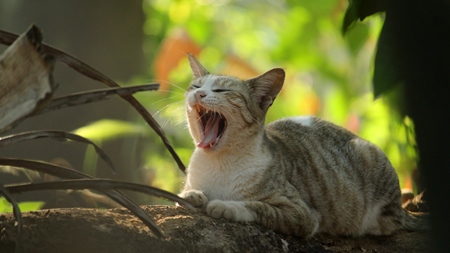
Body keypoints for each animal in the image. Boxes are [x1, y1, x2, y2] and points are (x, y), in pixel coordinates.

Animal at [179, 53, 426, 237]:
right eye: (195, 86)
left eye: (221, 90)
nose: (199, 94)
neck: (218, 162)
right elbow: (187, 192)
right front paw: (191, 195)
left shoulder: (301, 213)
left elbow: (258, 207)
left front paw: (226, 205)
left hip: (370, 158)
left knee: (388, 223)